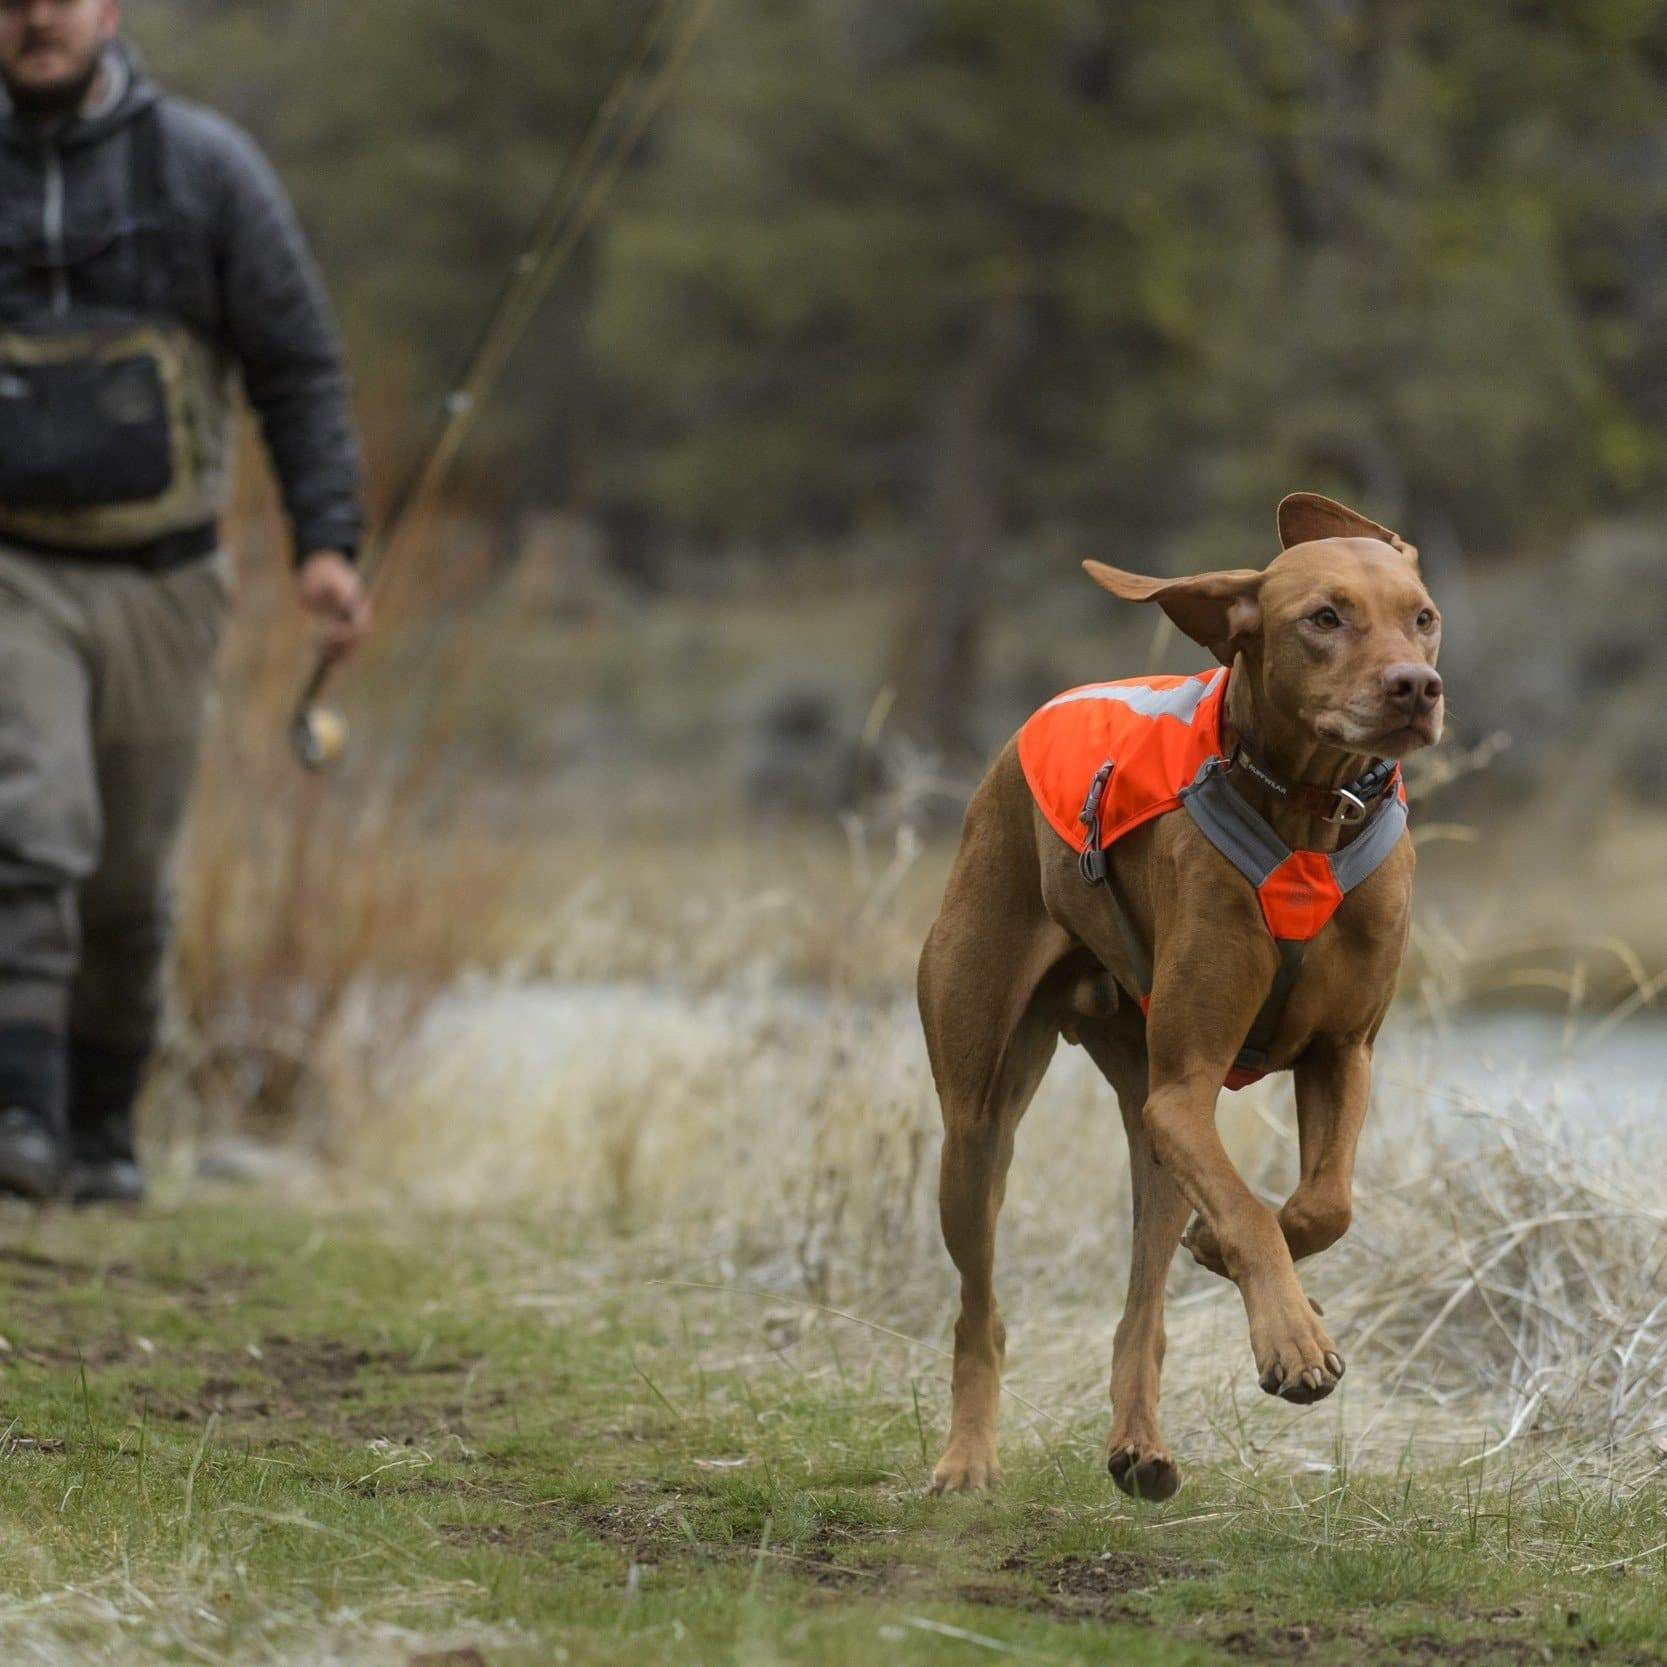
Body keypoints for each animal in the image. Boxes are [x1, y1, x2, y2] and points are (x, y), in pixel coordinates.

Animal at [920, 490, 1440, 1500]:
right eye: (1324, 617)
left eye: (1423, 616)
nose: (1416, 686)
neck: (1306, 812)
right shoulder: (1186, 1083)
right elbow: (1249, 1210)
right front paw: (1291, 1339)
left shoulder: (1342, 1052)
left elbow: (1320, 1204)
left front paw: (1245, 1271)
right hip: (978, 1121)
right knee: (978, 1307)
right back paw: (966, 1457)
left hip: (1148, 1132)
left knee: (1141, 1307)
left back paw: (1140, 1443)